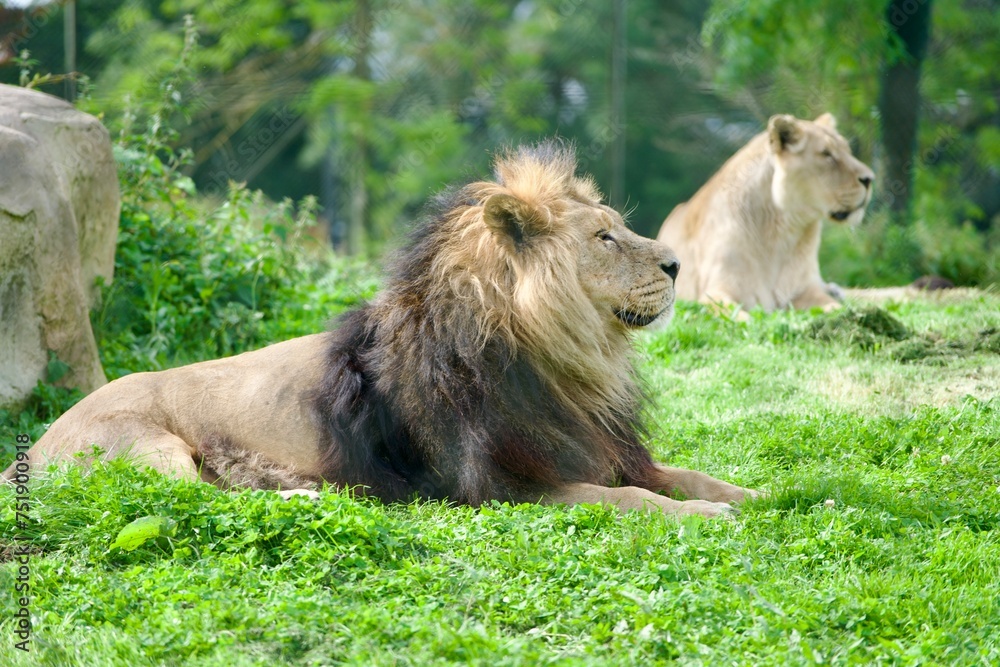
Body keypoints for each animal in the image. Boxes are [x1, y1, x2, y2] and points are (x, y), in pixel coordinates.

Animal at [5, 143, 755, 518]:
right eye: (604, 237)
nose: (676, 264)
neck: (570, 365)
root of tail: (31, 449)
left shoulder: (597, 447)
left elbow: (690, 475)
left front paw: (763, 496)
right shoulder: (498, 488)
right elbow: (626, 498)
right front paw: (708, 518)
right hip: (147, 447)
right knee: (187, 494)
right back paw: (307, 496)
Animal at [656, 113, 874, 313]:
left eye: (848, 151)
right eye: (827, 154)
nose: (869, 179)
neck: (781, 235)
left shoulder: (804, 290)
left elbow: (835, 308)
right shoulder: (715, 293)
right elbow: (736, 315)